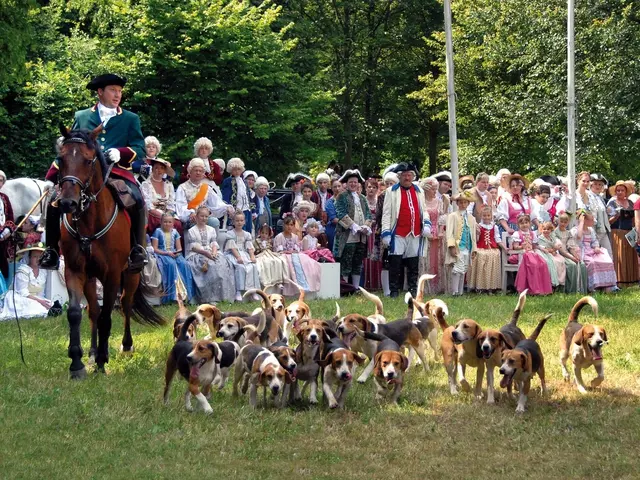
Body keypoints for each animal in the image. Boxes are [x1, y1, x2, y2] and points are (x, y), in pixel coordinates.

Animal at [57, 124, 165, 378]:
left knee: (125, 304)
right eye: (61, 158)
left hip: (131, 274)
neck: (89, 221)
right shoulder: (74, 271)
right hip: (90, 278)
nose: (67, 203)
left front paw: (102, 362)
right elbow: (76, 313)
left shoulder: (113, 274)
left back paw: (126, 346)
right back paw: (92, 351)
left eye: (88, 161)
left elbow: (108, 316)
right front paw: (77, 363)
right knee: (93, 311)